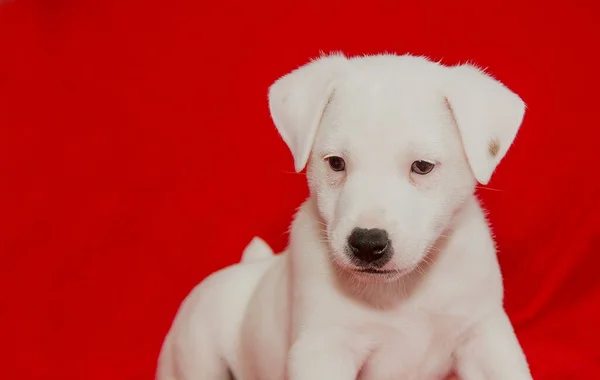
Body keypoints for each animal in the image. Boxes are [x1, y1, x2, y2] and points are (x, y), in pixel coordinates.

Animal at [157, 53, 532, 380]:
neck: (400, 293)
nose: (367, 244)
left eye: (422, 166)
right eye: (336, 162)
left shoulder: (484, 335)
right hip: (193, 358)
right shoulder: (323, 347)